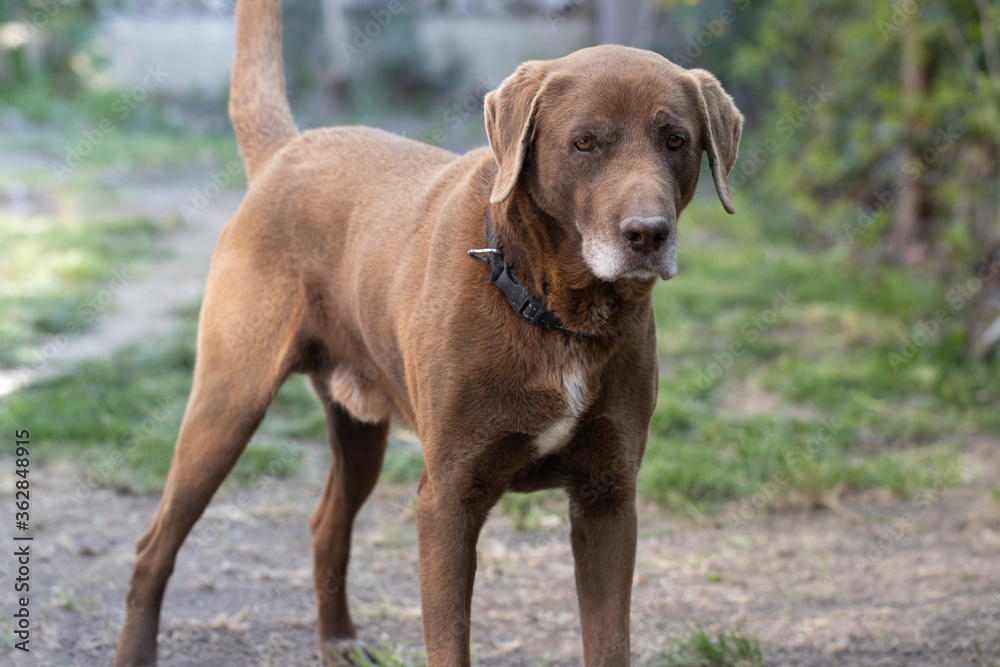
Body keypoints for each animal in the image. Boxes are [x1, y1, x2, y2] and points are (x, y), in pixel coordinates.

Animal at [113, 1, 744, 667]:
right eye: (584, 143)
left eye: (676, 141)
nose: (648, 234)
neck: (553, 313)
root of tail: (288, 149)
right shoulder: (447, 499)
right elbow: (448, 641)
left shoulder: (609, 499)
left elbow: (609, 639)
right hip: (227, 403)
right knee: (153, 545)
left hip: (358, 428)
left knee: (326, 524)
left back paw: (338, 640)